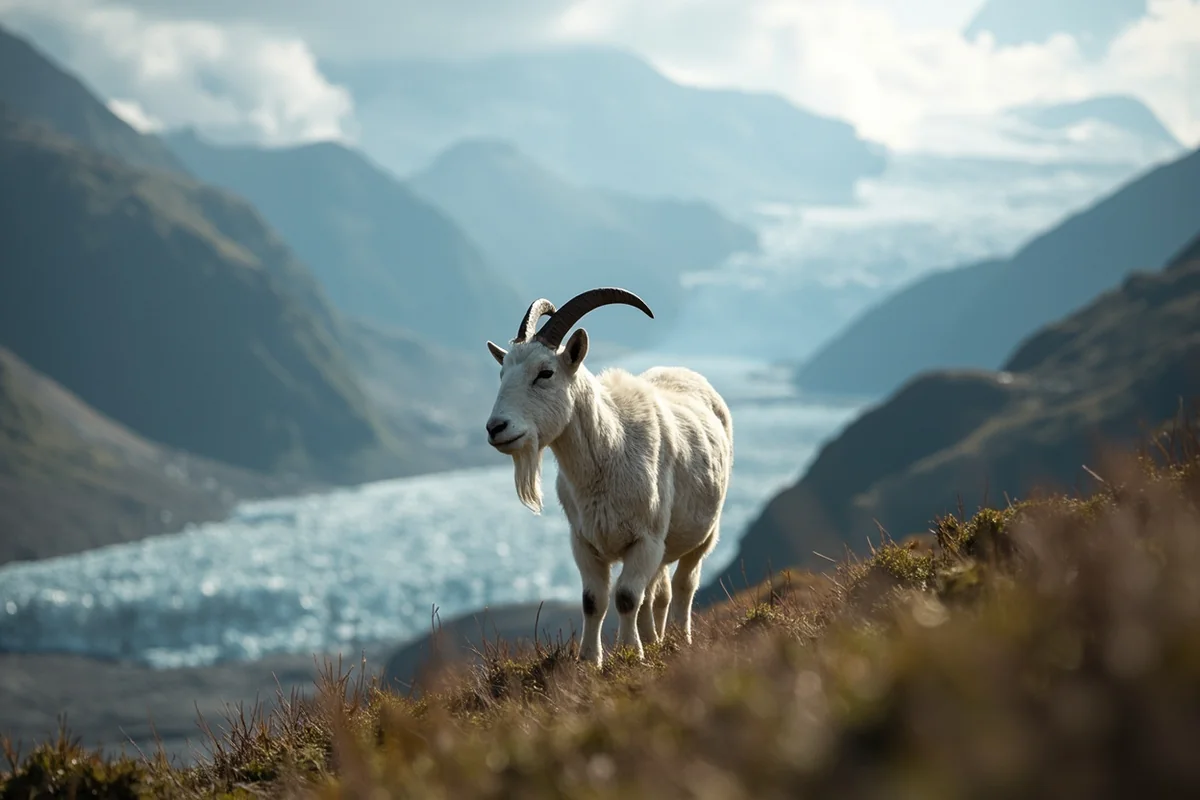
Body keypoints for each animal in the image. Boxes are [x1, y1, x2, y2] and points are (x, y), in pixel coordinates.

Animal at [484, 288, 734, 665]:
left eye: (545, 373)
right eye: (502, 374)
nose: (496, 428)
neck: (610, 449)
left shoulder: (645, 540)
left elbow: (627, 597)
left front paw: (632, 653)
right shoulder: (584, 542)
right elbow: (594, 601)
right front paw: (591, 660)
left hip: (705, 534)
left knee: (683, 585)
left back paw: (680, 639)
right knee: (657, 591)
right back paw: (656, 639)